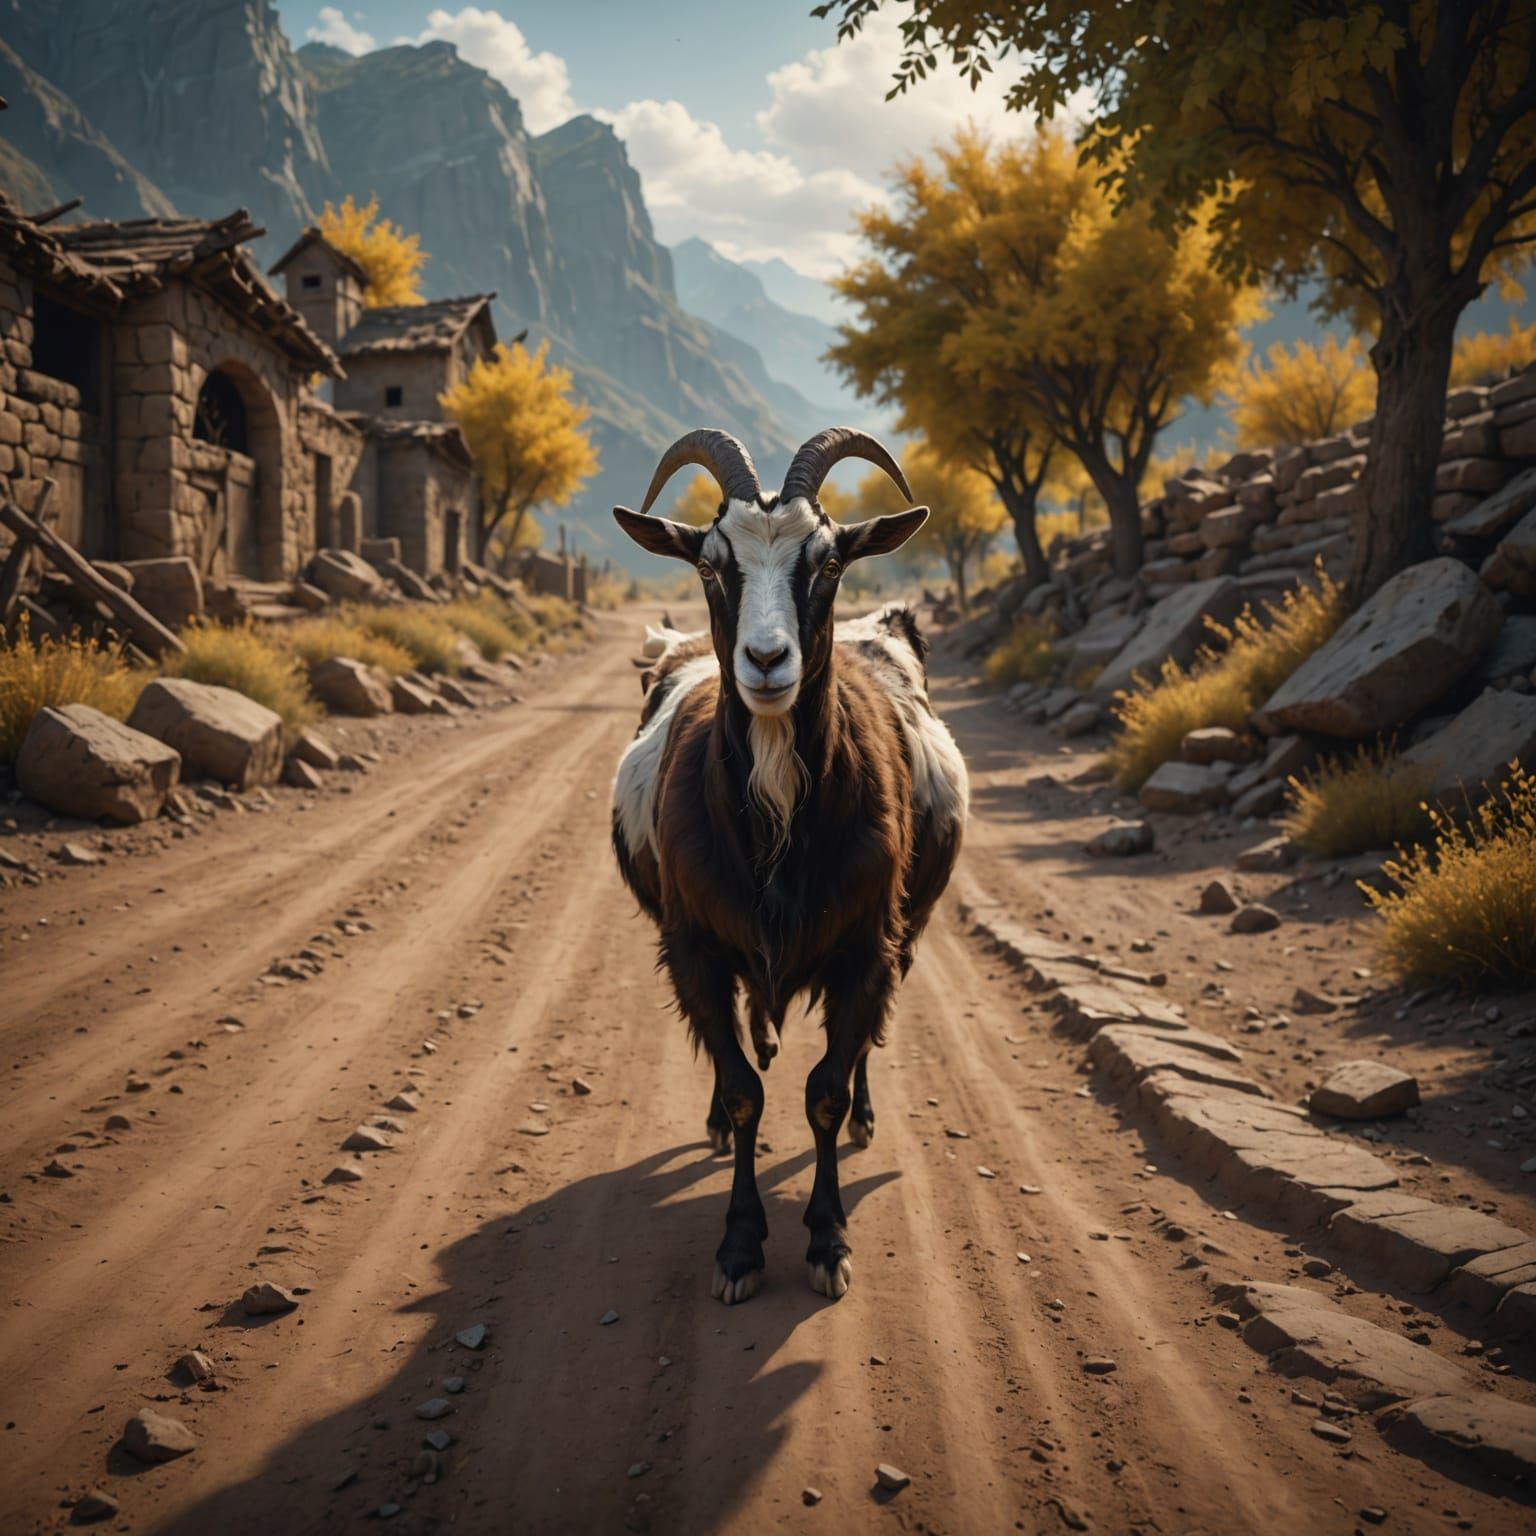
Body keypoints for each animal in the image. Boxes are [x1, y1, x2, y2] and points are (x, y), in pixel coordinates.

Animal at [611, 427, 968, 1303]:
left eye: (830, 561)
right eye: (710, 564)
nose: (767, 660)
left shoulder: (869, 946)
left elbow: (826, 1090)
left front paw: (827, 1237)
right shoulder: (693, 947)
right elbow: (746, 1090)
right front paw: (740, 1244)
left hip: (904, 937)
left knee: (864, 1042)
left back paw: (868, 1116)